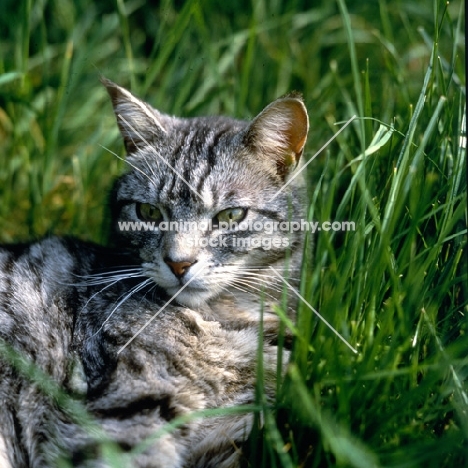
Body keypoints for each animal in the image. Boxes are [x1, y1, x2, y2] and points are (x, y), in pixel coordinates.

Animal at [0, 78, 310, 466]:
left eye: (230, 216)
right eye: (148, 212)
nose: (179, 263)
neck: (223, 321)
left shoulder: (235, 433)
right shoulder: (125, 407)